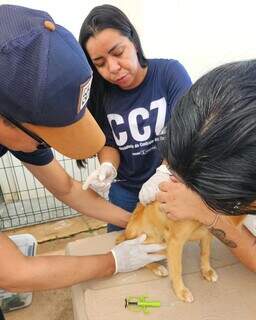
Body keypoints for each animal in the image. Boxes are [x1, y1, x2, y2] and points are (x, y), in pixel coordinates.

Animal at [116, 202, 244, 302]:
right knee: (141, 257)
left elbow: (205, 253)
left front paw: (207, 271)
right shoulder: (175, 241)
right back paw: (157, 267)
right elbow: (177, 269)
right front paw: (181, 291)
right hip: (155, 240)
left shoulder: (208, 230)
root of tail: (125, 234)